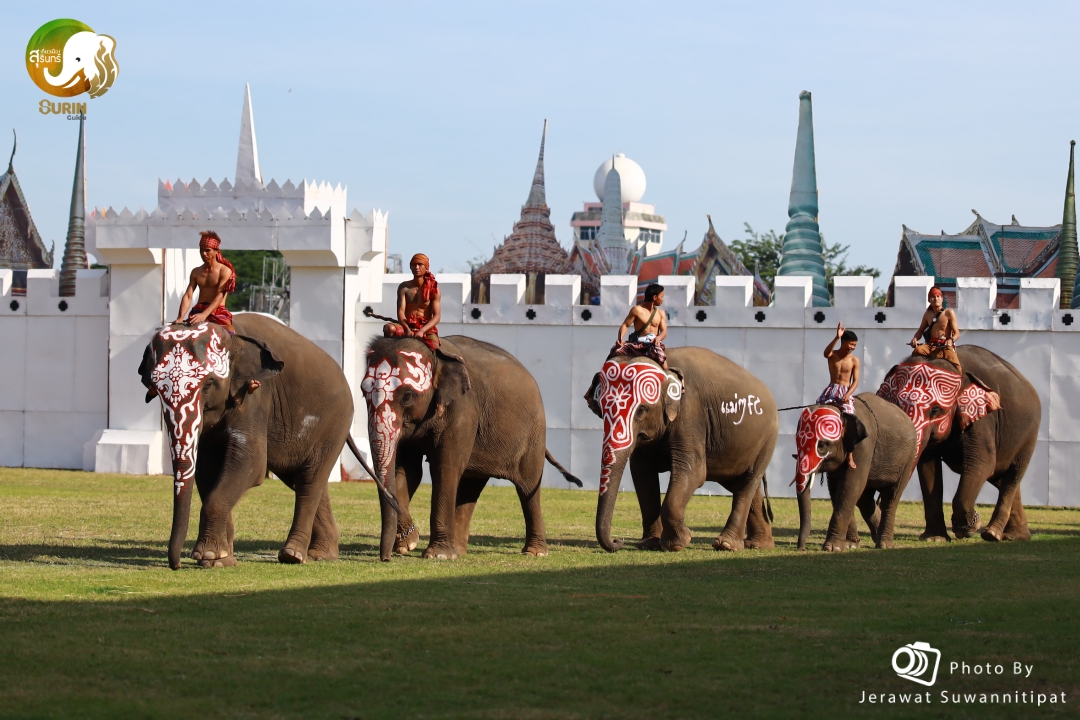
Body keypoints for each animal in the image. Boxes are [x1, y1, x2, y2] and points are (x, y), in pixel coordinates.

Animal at [139, 314, 368, 569]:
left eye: (208, 384)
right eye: (155, 388)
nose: (176, 565)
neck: (232, 339)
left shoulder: (256, 394)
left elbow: (251, 462)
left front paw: (208, 556)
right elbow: (207, 469)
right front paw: (220, 559)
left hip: (335, 422)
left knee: (310, 480)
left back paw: (293, 555)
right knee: (301, 478)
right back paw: (321, 554)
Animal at [362, 335, 581, 562]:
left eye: (407, 396)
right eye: (362, 393)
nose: (386, 558)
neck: (436, 355)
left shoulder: (462, 409)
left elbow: (445, 468)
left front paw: (437, 555)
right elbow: (407, 471)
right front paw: (408, 544)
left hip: (534, 433)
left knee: (528, 486)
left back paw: (535, 552)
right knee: (470, 486)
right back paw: (458, 551)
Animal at [584, 348, 778, 553]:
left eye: (642, 410)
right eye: (601, 410)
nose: (617, 540)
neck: (666, 366)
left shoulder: (690, 414)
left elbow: (694, 473)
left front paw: (676, 544)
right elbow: (642, 475)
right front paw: (649, 544)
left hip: (767, 440)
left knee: (748, 482)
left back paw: (726, 545)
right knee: (741, 484)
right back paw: (758, 544)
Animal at [792, 394, 918, 552]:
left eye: (821, 446)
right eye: (797, 442)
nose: (801, 549)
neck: (842, 411)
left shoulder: (864, 445)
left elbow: (850, 486)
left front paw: (832, 548)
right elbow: (837, 490)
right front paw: (849, 545)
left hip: (909, 458)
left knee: (891, 497)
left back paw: (884, 545)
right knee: (865, 500)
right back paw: (874, 538)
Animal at [877, 345, 1038, 542]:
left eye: (936, 410)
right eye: (896, 405)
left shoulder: (982, 419)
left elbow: (982, 463)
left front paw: (968, 528)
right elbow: (928, 468)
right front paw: (934, 538)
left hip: (1029, 435)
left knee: (1012, 476)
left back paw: (992, 534)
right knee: (1000, 477)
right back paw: (1015, 536)